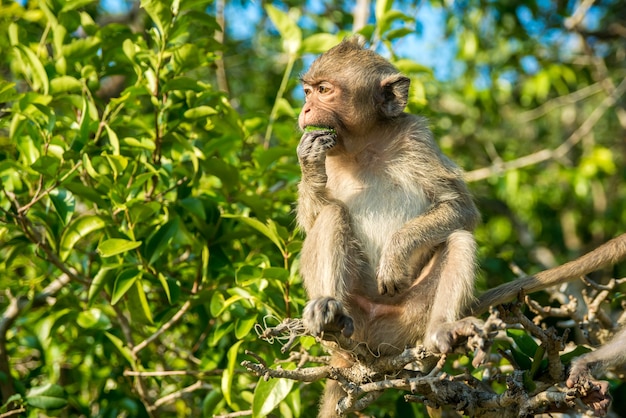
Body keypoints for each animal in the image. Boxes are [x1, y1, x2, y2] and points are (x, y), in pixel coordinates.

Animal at [292, 37, 624, 416]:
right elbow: (314, 219)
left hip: (406, 319)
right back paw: (328, 310)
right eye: (307, 91)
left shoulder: (416, 137)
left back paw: (443, 331)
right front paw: (308, 159)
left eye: (324, 90)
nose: (305, 110)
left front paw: (396, 254)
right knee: (332, 216)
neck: (365, 143)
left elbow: (459, 209)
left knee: (458, 240)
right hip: (356, 316)